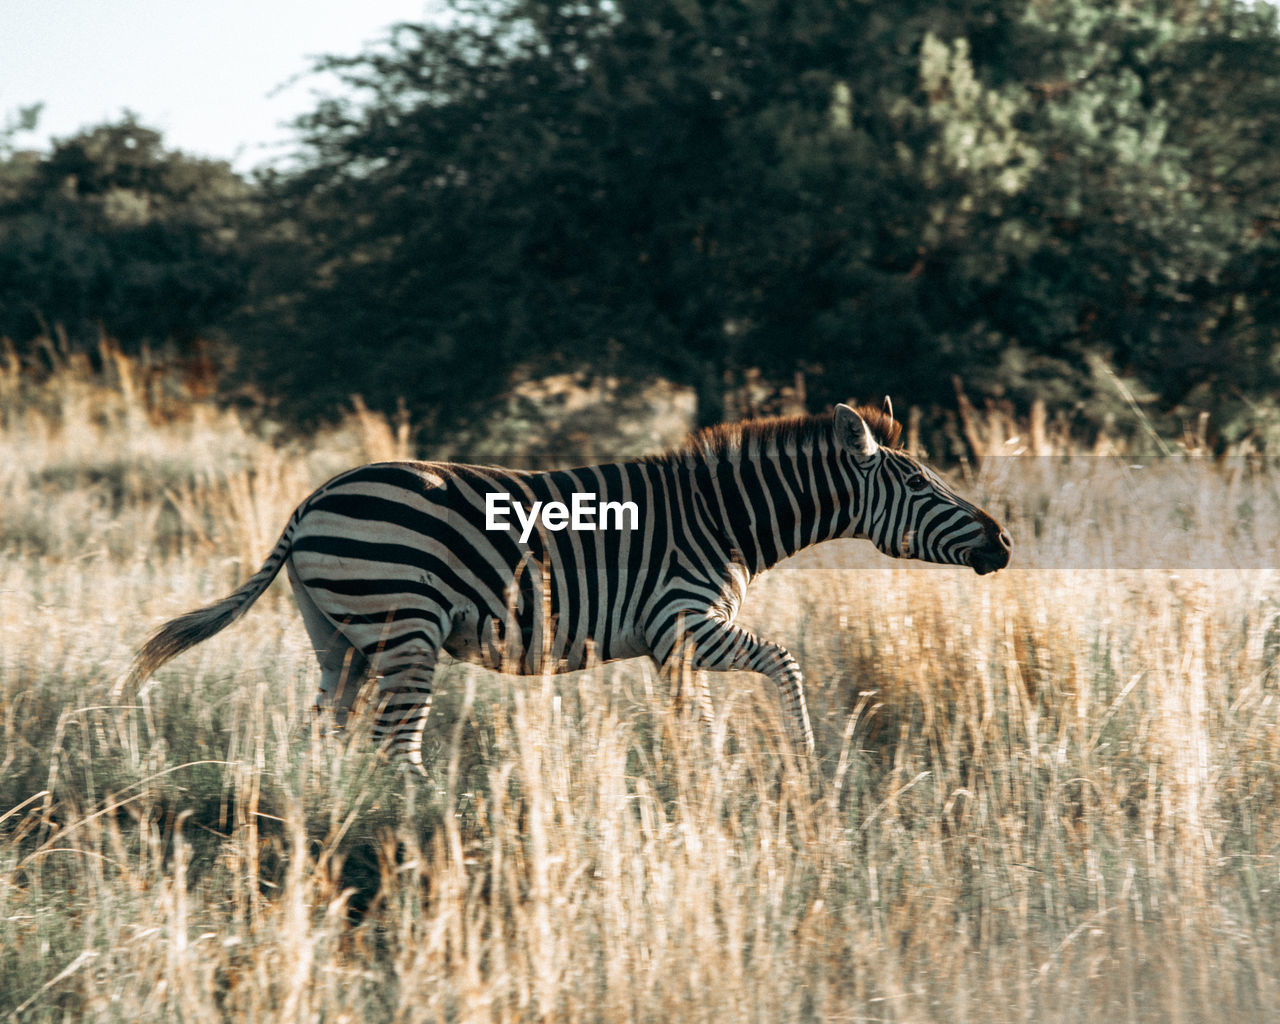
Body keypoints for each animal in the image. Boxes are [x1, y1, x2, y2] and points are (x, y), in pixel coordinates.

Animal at [120, 404, 1013, 762]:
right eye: (923, 483)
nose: (1003, 542)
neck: (724, 520)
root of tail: (313, 498)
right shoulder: (686, 622)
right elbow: (787, 663)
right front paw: (805, 758)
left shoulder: (674, 646)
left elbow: (695, 717)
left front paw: (699, 779)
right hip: (405, 630)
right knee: (395, 742)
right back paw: (421, 824)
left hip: (338, 634)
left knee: (333, 731)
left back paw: (337, 806)